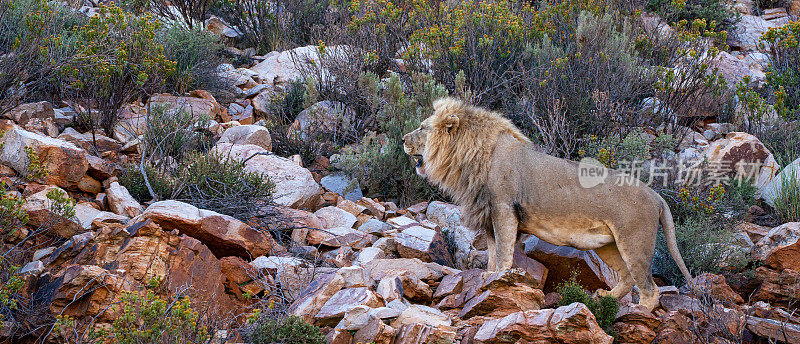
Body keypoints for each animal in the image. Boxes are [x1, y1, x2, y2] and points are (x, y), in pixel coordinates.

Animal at [404, 96, 692, 310]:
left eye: (422, 128)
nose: (404, 139)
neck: (468, 160)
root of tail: (657, 196)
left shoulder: (503, 208)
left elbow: (504, 248)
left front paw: (498, 276)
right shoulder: (487, 214)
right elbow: (492, 249)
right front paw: (487, 274)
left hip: (635, 242)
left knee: (650, 288)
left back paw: (639, 310)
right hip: (608, 244)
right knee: (628, 277)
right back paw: (604, 299)